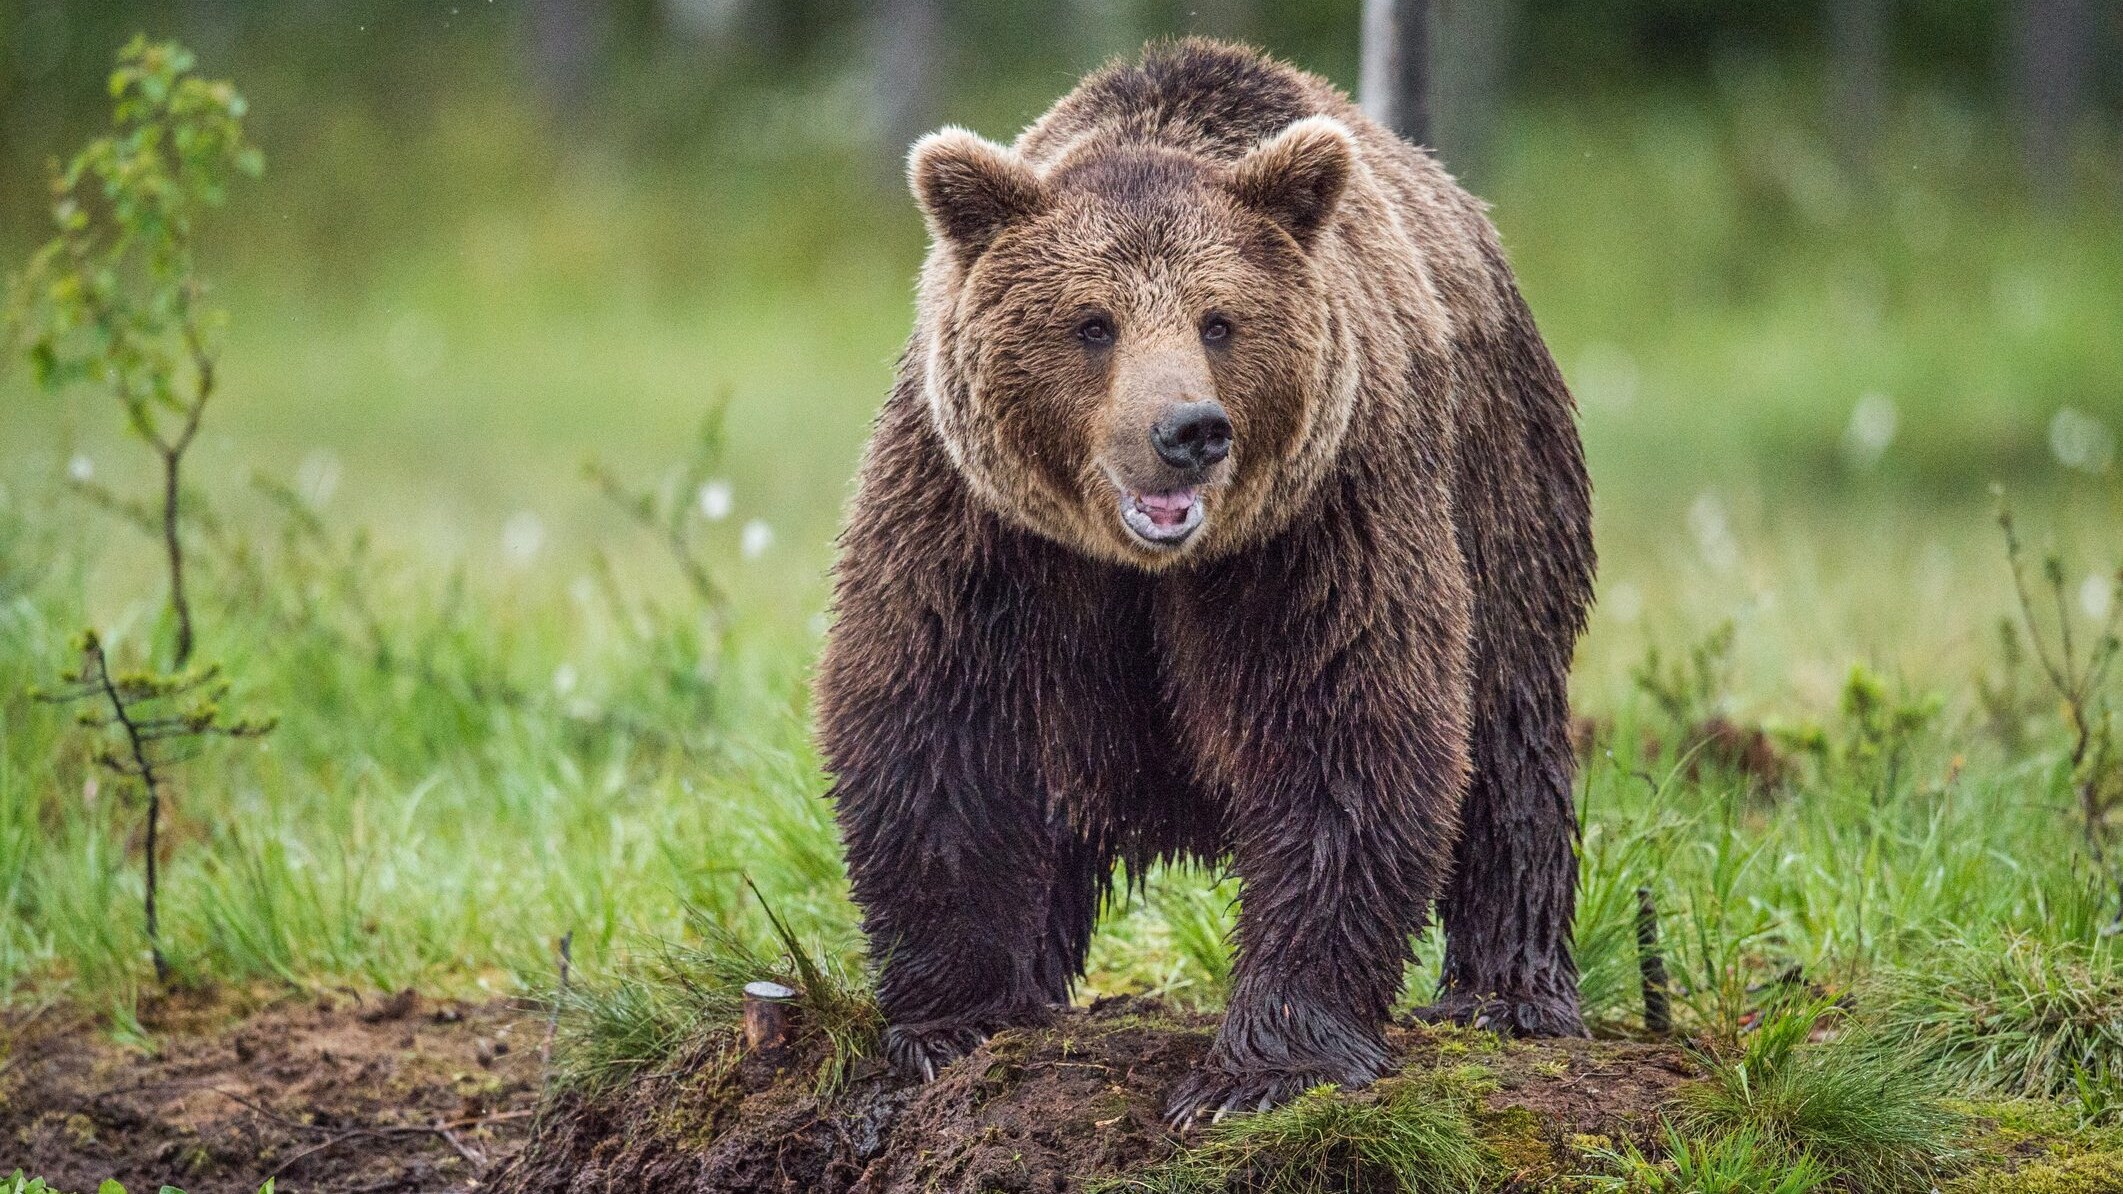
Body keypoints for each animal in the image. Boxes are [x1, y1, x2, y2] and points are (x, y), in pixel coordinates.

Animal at [815, 38, 1594, 1122]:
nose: (1187, 430)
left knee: (1509, 733)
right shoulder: (979, 529)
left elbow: (1342, 731)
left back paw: (1506, 993)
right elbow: (941, 725)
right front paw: (956, 1018)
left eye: (1218, 321)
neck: (1143, 565)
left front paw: (1263, 1066)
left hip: (1502, 484)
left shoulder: (1319, 524)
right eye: (1090, 323)